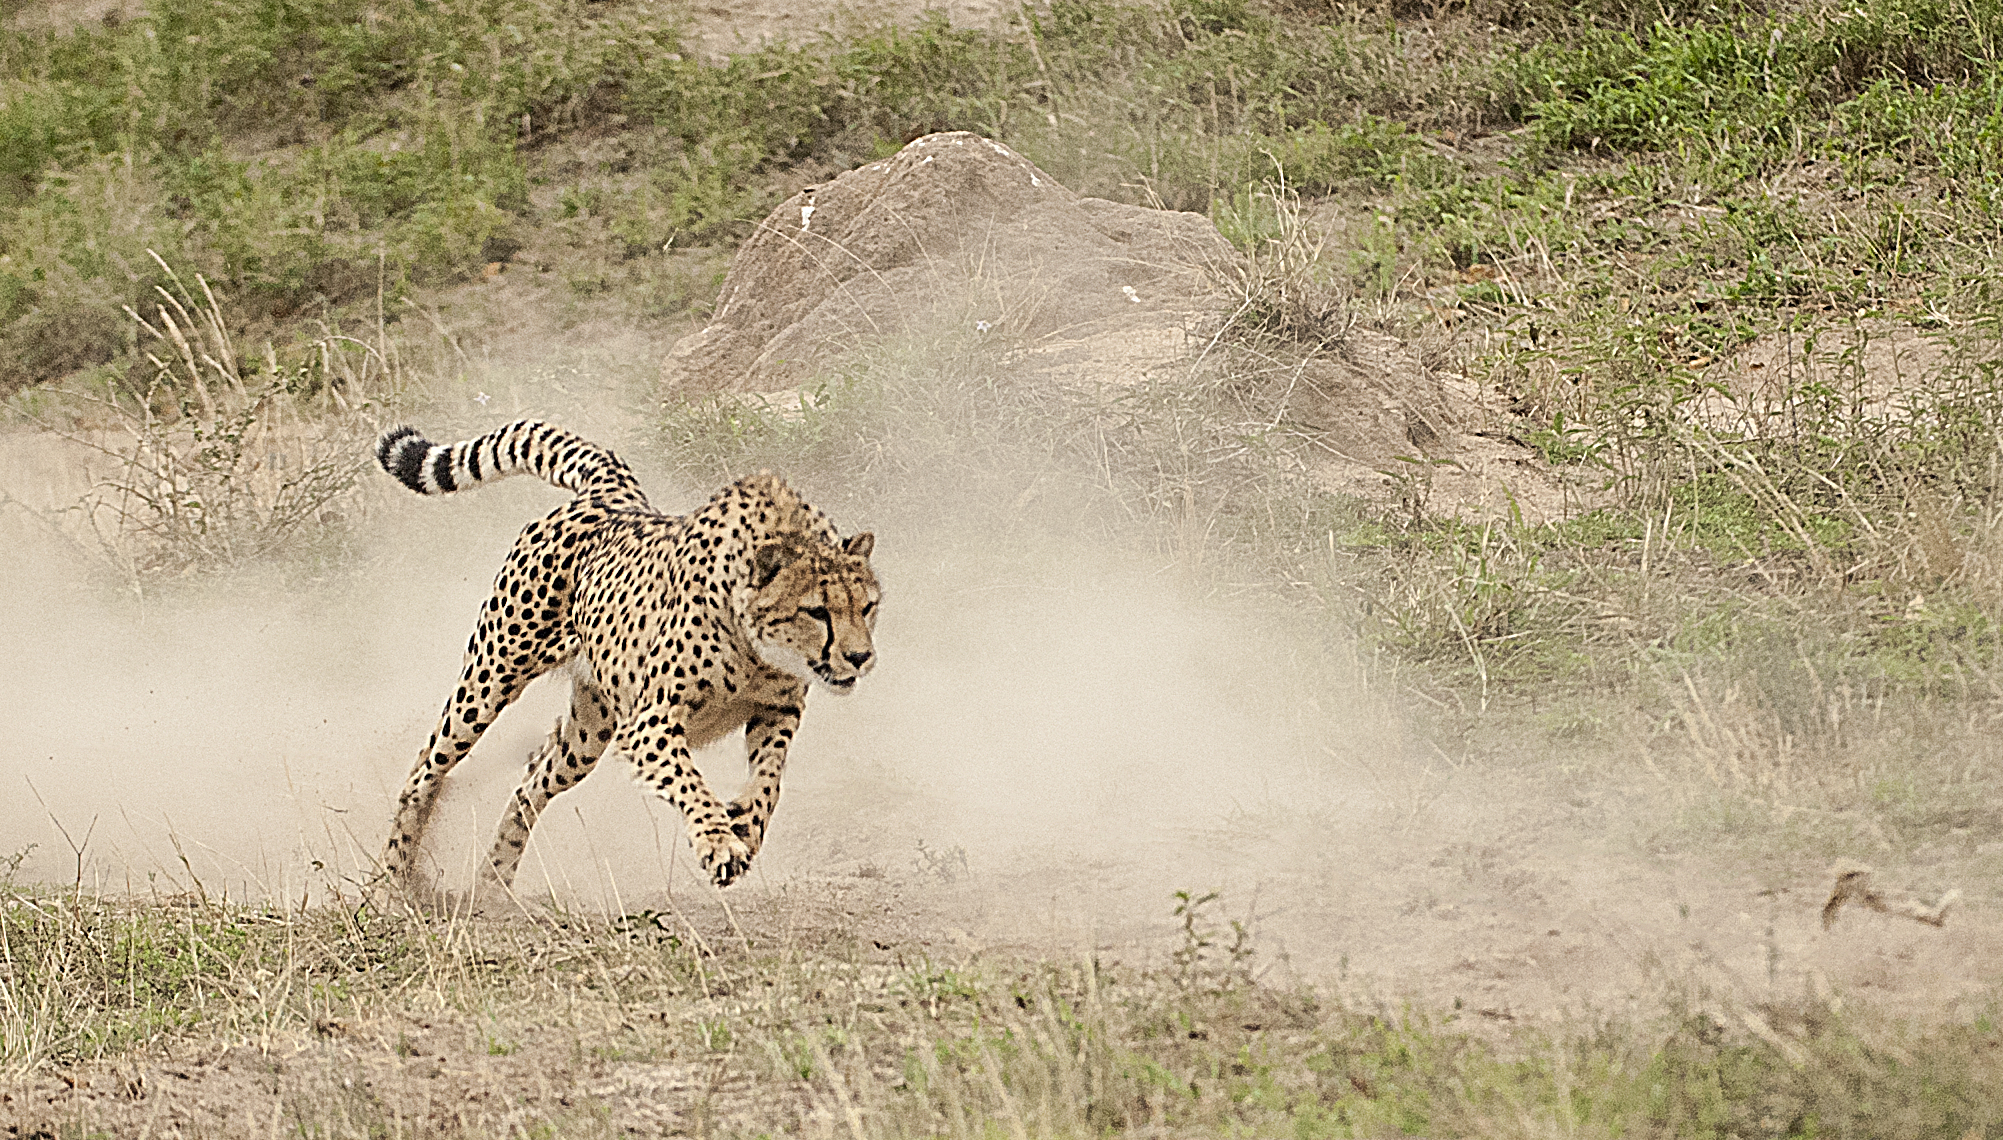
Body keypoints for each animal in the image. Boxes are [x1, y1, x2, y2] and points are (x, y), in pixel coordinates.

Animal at [376, 418, 877, 889]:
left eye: (868, 606)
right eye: (817, 611)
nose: (860, 657)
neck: (759, 650)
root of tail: (613, 496)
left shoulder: (778, 710)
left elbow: (770, 779)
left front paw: (746, 827)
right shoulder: (650, 722)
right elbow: (690, 783)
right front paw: (718, 842)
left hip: (587, 733)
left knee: (533, 780)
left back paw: (493, 883)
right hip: (491, 677)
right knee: (426, 767)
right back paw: (395, 879)